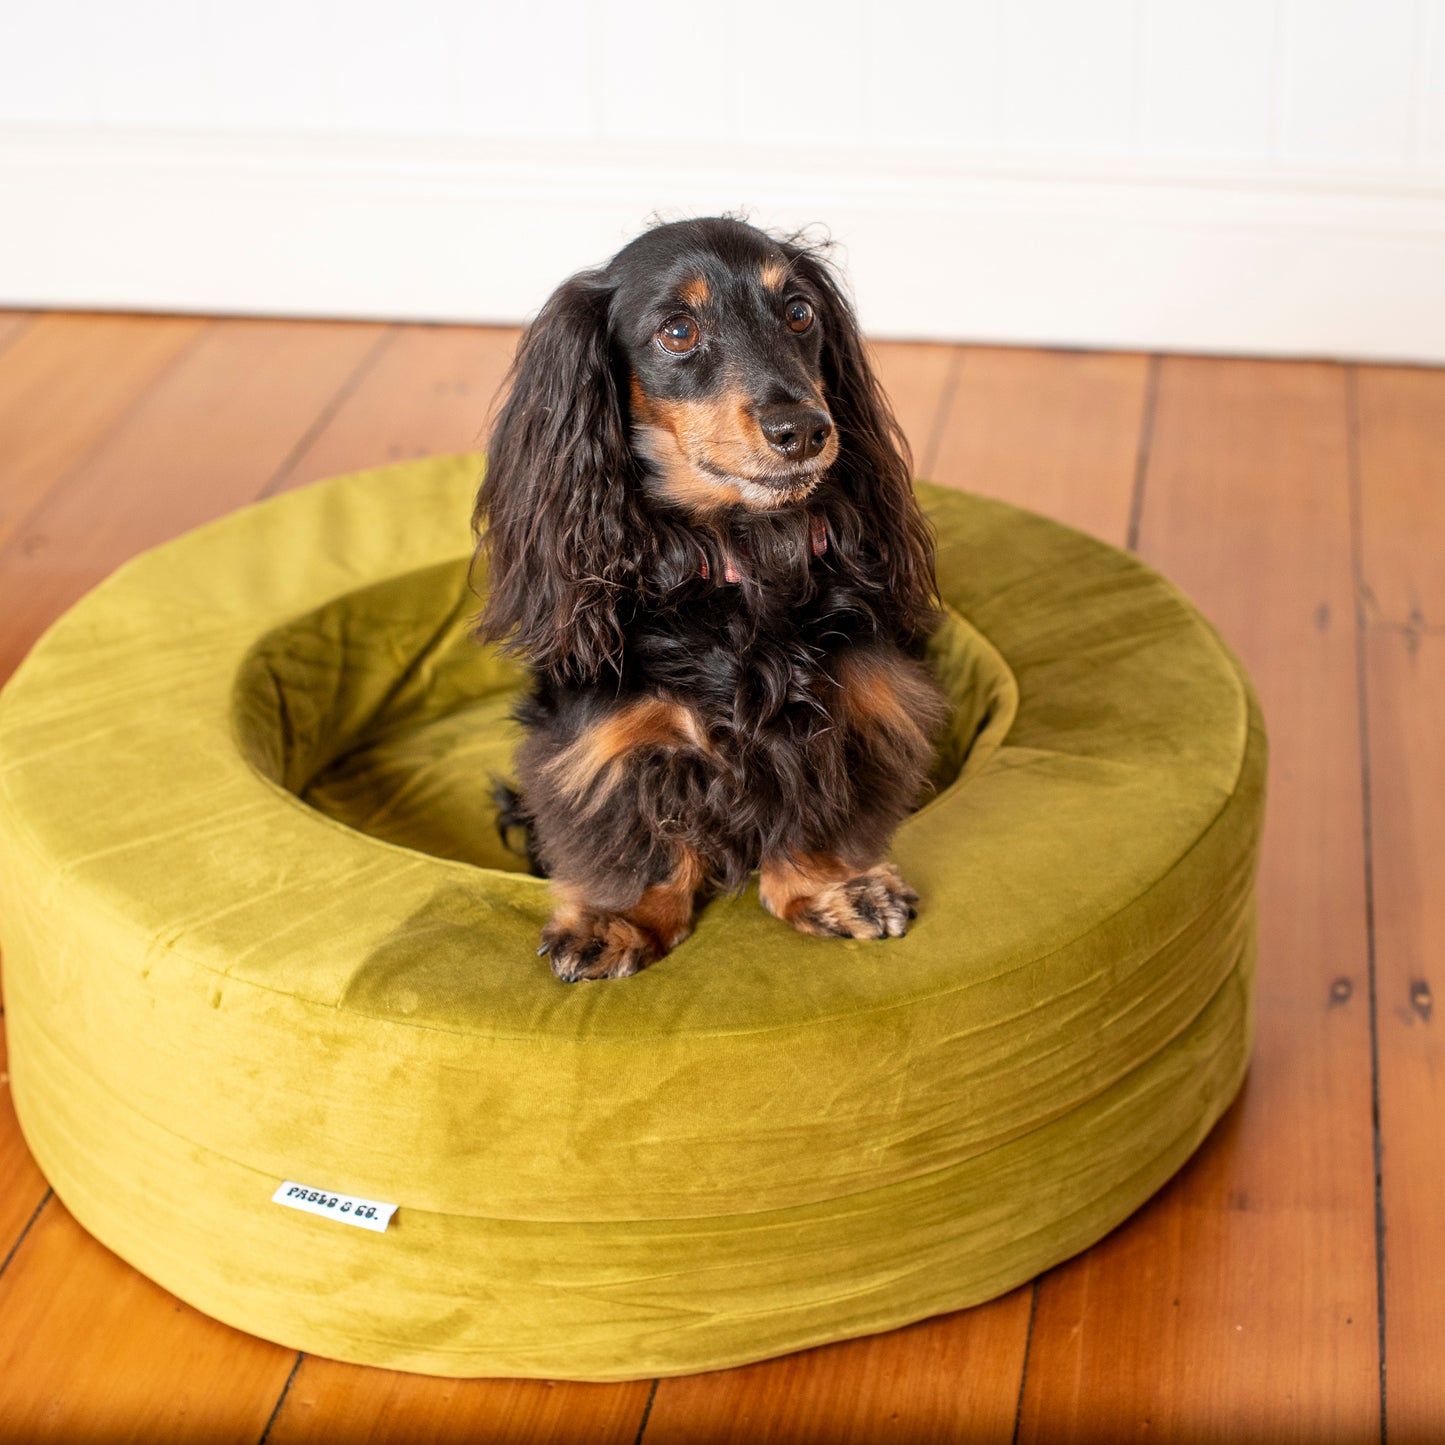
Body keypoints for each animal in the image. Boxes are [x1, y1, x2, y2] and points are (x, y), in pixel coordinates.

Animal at [473, 213, 947, 982]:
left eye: (799, 312)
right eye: (677, 330)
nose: (803, 431)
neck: (743, 556)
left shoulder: (851, 711)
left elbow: (821, 813)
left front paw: (832, 887)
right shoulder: (610, 741)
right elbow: (640, 840)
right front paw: (620, 920)